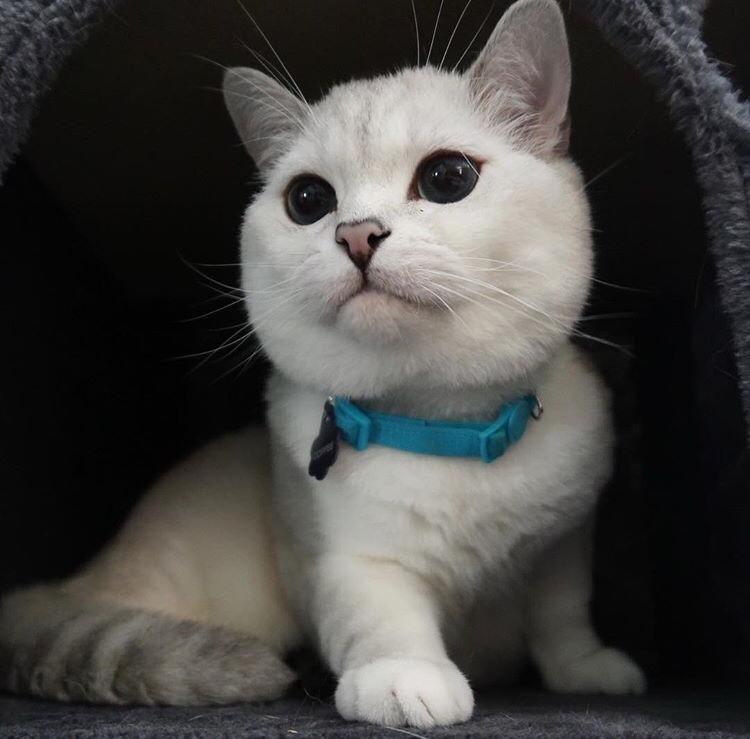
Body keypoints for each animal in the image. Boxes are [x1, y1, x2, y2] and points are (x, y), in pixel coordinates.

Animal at [0, 0, 645, 728]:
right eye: (308, 200)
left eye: (447, 178)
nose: (357, 234)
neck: (443, 428)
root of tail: (74, 579)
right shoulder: (344, 561)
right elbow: (383, 618)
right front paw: (406, 678)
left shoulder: (565, 542)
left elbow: (562, 613)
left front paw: (585, 670)